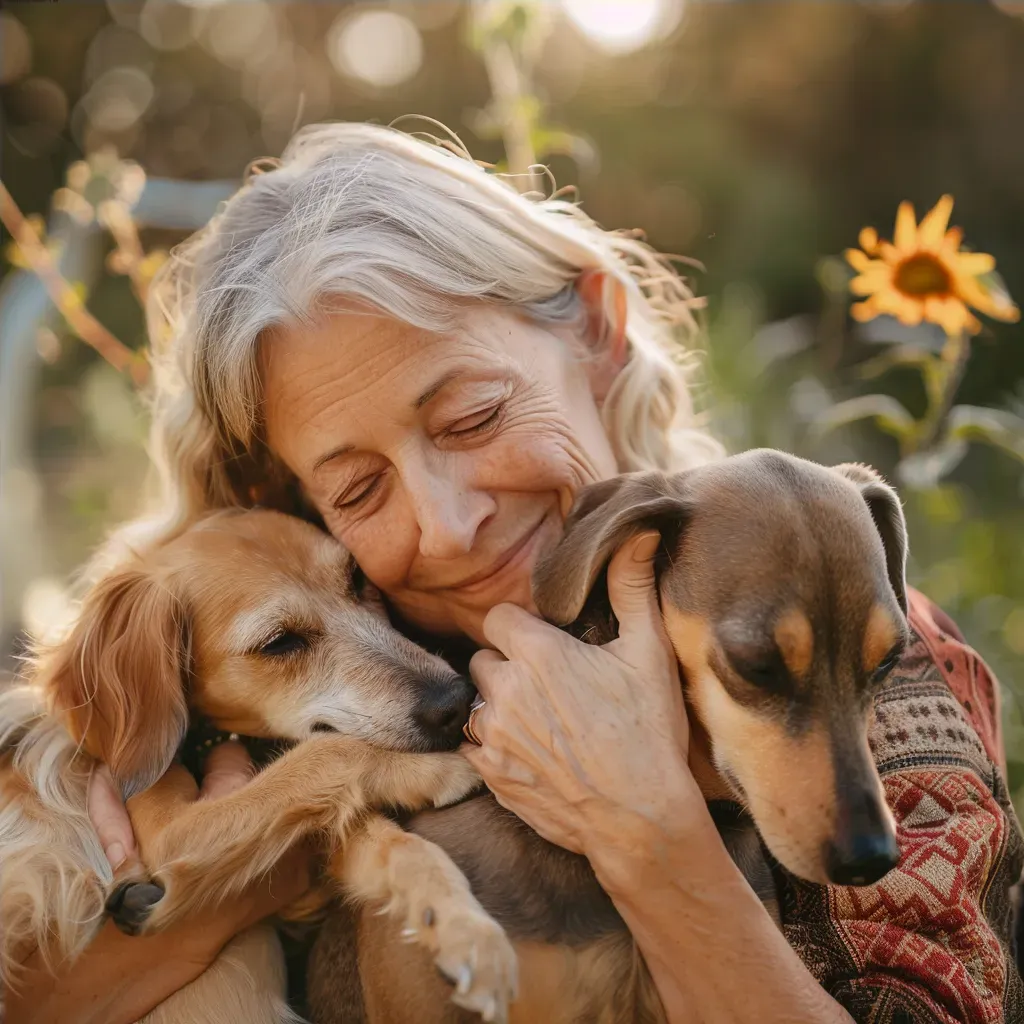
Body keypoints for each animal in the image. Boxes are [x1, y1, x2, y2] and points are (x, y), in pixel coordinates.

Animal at [2, 507, 520, 1019]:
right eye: (278, 643)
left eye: (356, 580)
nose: (456, 701)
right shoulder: (166, 836)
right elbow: (324, 755)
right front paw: (434, 771)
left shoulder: (315, 838)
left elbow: (406, 849)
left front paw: (465, 931)